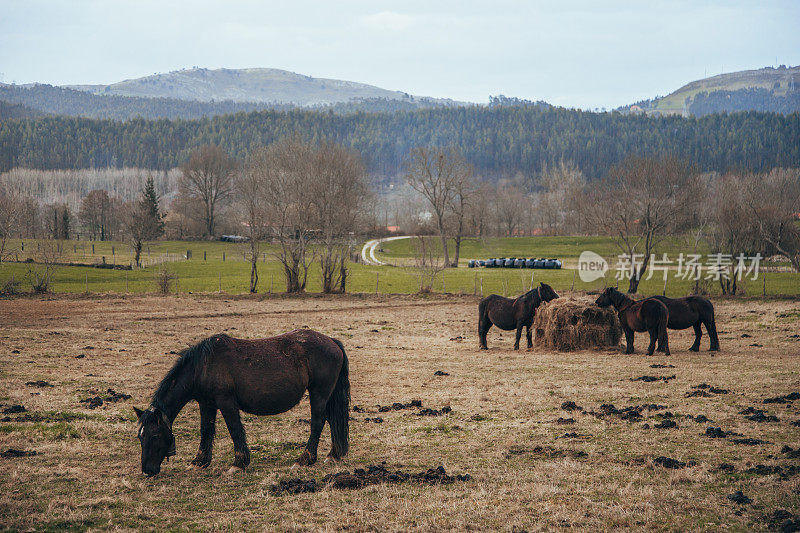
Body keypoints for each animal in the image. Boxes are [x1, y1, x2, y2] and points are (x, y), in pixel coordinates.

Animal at [133, 330, 348, 476]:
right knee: (331, 420)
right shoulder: (206, 403)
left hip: (319, 393)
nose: (147, 470)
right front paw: (199, 462)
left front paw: (239, 463)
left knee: (317, 423)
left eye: (154, 435)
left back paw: (305, 459)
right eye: (140, 436)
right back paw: (333, 455)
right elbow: (205, 430)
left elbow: (234, 428)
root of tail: (332, 342)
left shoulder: (226, 401)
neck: (203, 366)